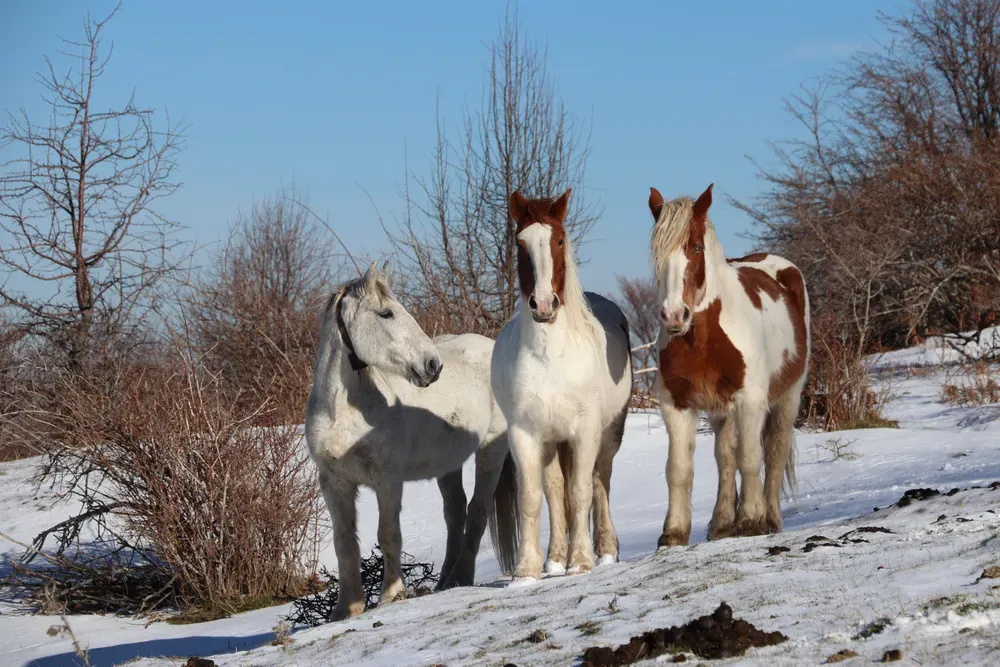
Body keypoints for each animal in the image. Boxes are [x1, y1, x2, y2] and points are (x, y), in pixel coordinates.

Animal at [306, 262, 520, 620]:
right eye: (386, 313)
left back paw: (461, 576)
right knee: (455, 513)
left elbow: (388, 534)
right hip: (448, 465)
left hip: (492, 449)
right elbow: (344, 544)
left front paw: (392, 595)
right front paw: (347, 608)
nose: (433, 366)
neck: (344, 413)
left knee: (476, 511)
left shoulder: (388, 480)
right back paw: (446, 581)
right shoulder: (334, 483)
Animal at [492, 190, 632, 580]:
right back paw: (555, 558)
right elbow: (533, 498)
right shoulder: (525, 435)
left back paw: (606, 550)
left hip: (608, 434)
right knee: (555, 492)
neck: (550, 357)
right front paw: (526, 571)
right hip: (553, 442)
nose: (543, 304)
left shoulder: (584, 431)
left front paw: (581, 561)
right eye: (520, 243)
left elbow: (582, 492)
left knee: (600, 482)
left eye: (558, 240)